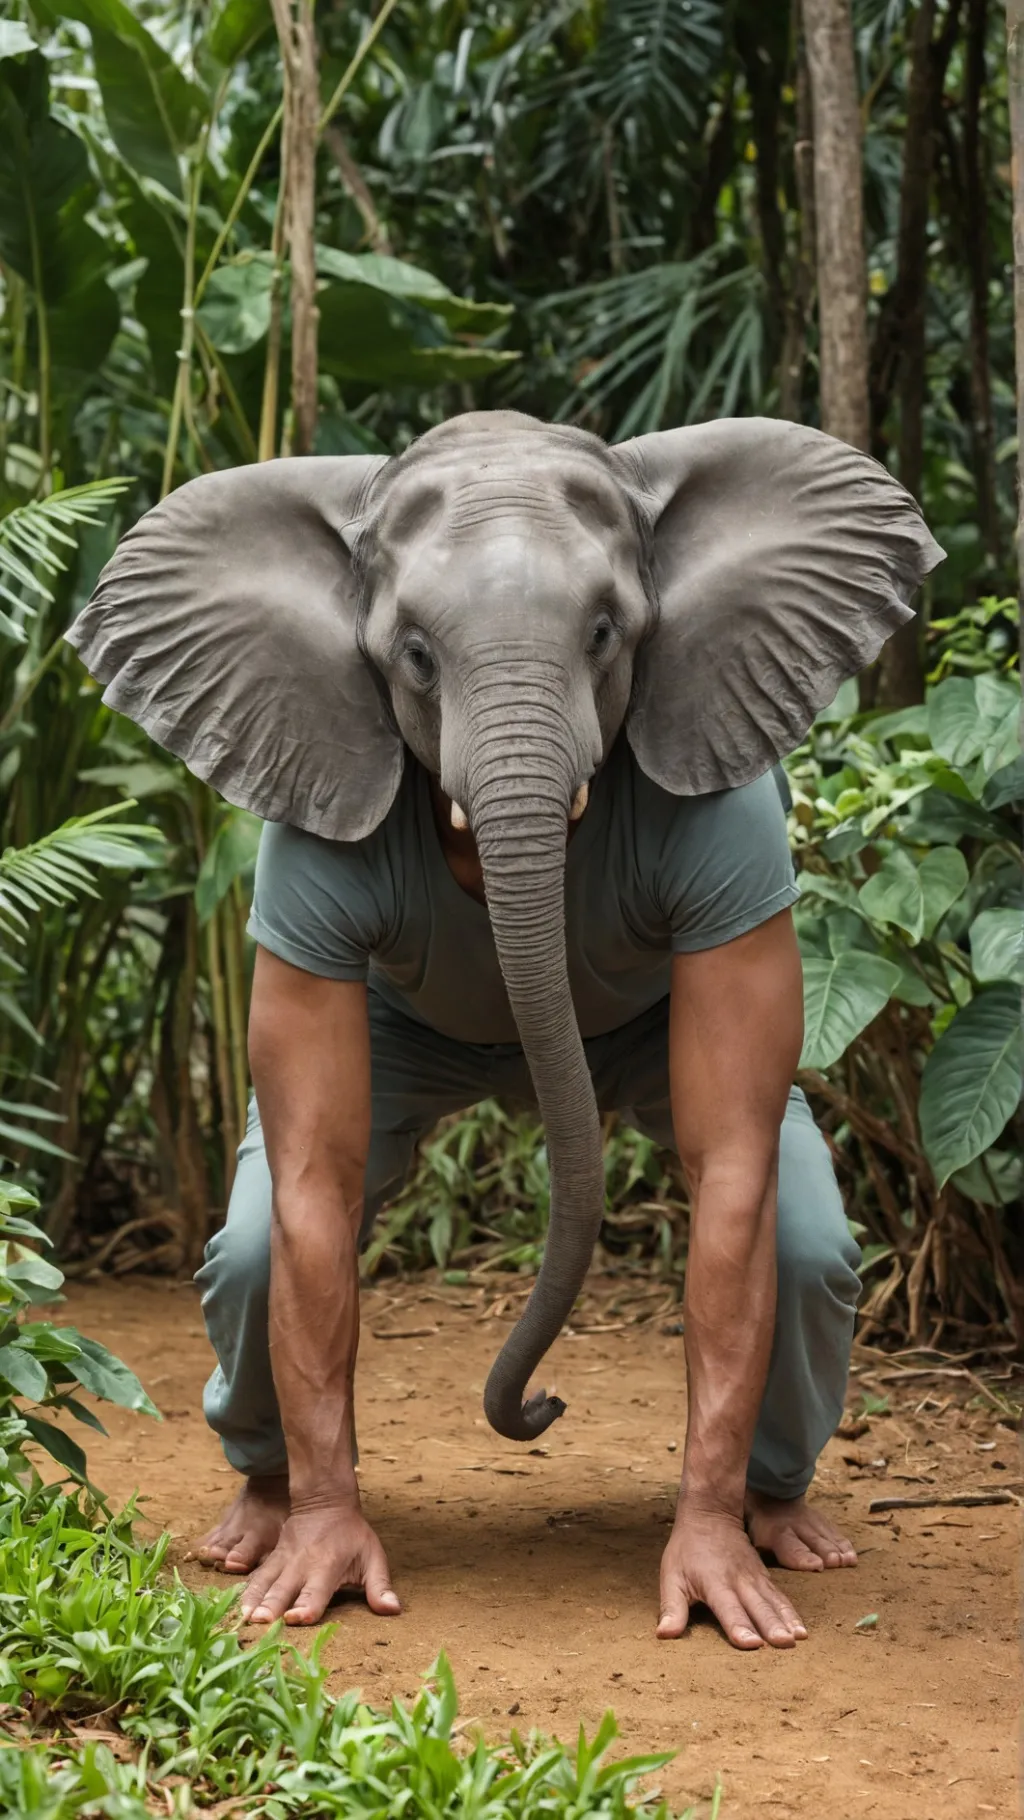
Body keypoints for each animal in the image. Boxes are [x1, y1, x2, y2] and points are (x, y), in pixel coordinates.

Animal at [67, 409, 943, 1444]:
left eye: (604, 633)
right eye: (415, 655)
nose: (546, 1402)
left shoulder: (731, 830)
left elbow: (734, 1152)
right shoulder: (307, 836)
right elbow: (310, 1180)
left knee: (804, 1256)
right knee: (248, 1261)